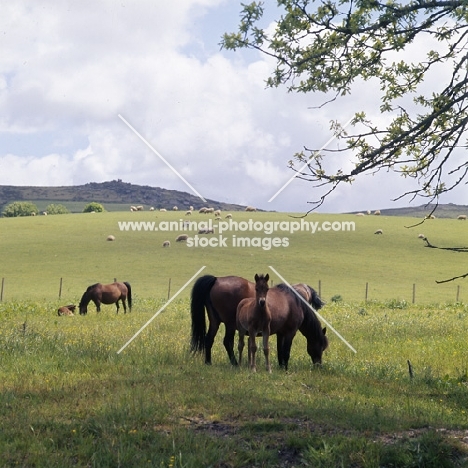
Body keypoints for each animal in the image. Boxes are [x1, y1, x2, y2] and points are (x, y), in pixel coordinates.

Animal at [190, 274, 330, 370]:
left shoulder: (280, 333)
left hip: (215, 321)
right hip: (230, 325)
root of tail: (216, 279)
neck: (296, 302)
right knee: (227, 342)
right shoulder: (290, 332)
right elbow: (286, 351)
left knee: (209, 339)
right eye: (321, 346)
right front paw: (285, 369)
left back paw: (208, 362)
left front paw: (280, 367)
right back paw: (235, 364)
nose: (319, 365)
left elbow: (280, 350)